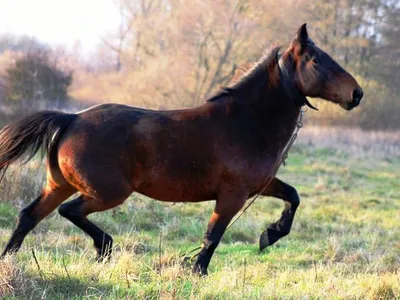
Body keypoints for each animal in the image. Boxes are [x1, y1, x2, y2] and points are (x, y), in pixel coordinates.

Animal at [0, 24, 362, 276]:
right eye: (317, 60)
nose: (356, 94)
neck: (245, 122)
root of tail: (72, 119)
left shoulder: (259, 185)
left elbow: (293, 197)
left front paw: (270, 235)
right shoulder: (232, 195)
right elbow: (213, 235)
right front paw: (198, 272)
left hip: (58, 185)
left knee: (29, 216)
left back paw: (10, 260)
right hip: (107, 193)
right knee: (70, 212)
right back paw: (104, 248)